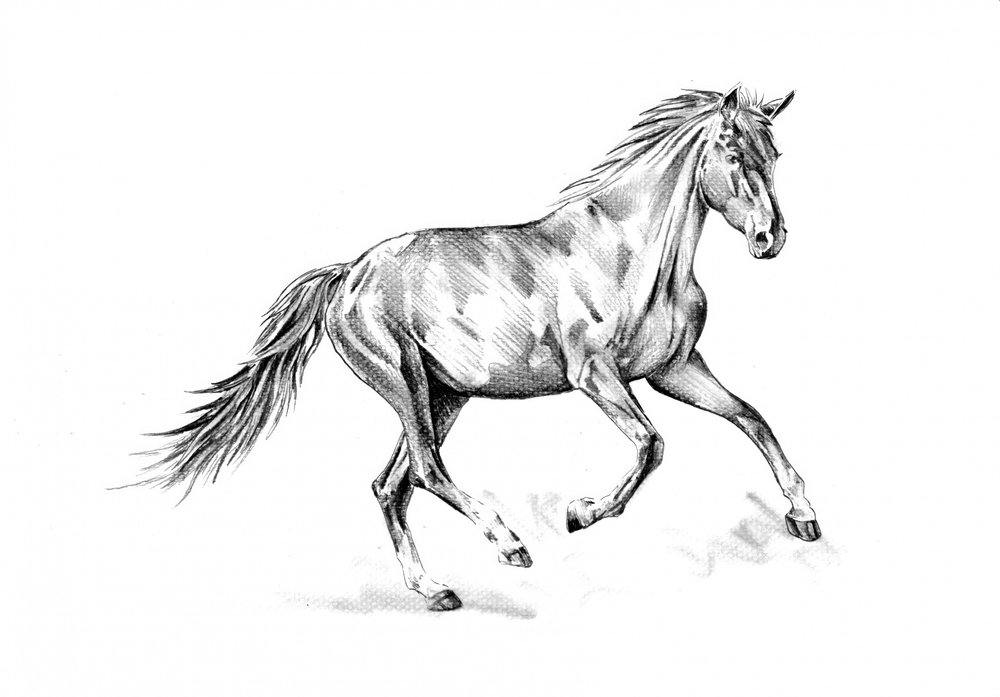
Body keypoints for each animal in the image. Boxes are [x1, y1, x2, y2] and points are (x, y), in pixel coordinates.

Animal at [137, 85, 820, 612]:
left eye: (776, 153)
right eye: (733, 153)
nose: (771, 237)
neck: (632, 254)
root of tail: (347, 274)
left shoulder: (676, 370)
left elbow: (752, 418)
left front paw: (804, 516)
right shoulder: (596, 376)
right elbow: (651, 445)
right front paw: (580, 513)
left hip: (443, 395)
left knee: (392, 484)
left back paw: (435, 590)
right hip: (405, 384)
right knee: (425, 470)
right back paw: (509, 544)